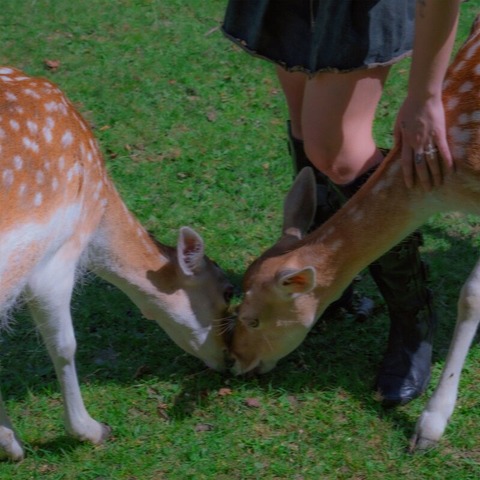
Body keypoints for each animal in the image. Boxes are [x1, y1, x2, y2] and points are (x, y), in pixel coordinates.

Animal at [0, 65, 234, 460]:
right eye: (227, 291)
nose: (230, 361)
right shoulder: (54, 260)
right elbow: (65, 345)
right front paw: (91, 430)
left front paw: (8, 441)